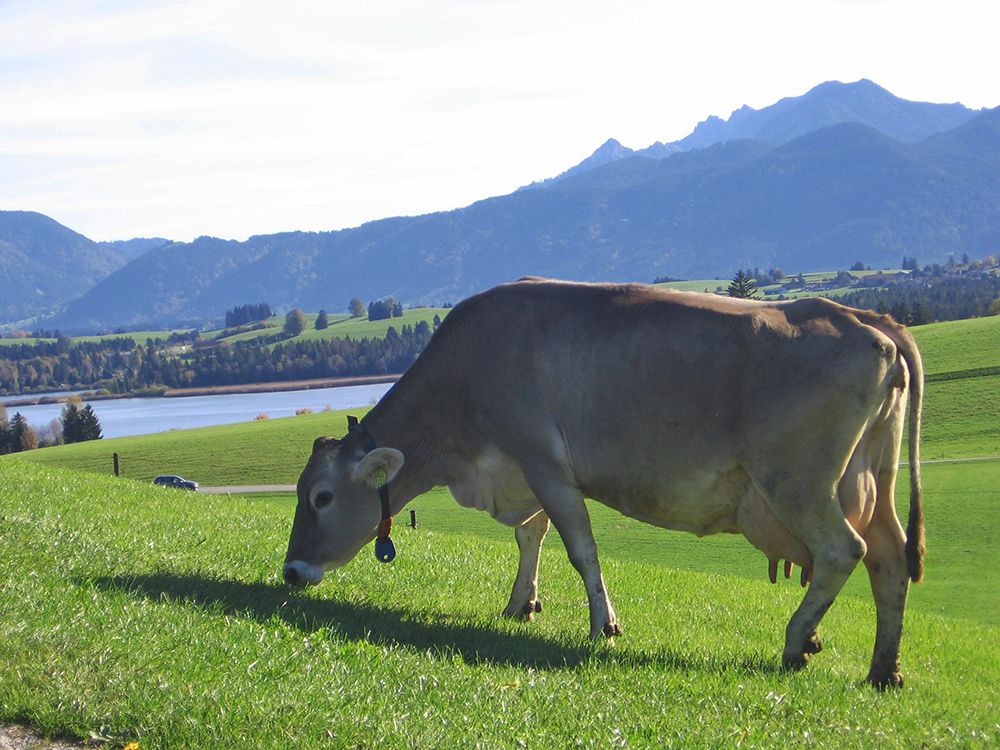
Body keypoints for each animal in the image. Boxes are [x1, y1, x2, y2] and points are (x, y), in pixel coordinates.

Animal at [284, 278, 924, 688]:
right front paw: (522, 603)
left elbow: (579, 547)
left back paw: (796, 642)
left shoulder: (543, 461)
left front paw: (604, 625)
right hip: (873, 481)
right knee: (890, 561)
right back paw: (883, 670)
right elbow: (531, 536)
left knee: (843, 550)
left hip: (798, 481)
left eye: (322, 497)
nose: (291, 571)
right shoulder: (528, 470)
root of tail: (867, 320)